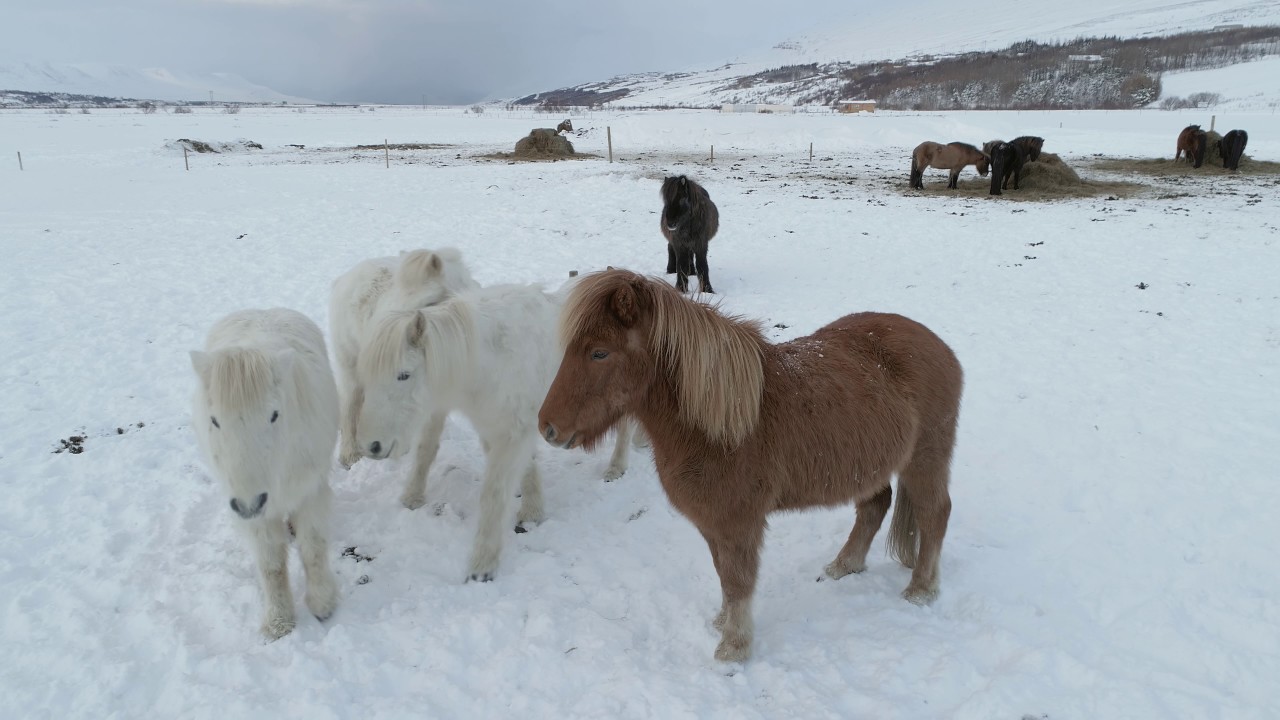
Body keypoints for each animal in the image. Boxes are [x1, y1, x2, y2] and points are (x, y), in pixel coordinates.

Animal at [190, 308, 341, 640]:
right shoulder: (254, 513)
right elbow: (271, 563)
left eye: (274, 415)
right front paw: (279, 622)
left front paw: (322, 603)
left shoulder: (311, 490)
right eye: (214, 420)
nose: (249, 504)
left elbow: (313, 547)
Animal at [354, 281, 639, 582]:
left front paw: (483, 564)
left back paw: (616, 467)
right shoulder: (495, 426)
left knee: (626, 425)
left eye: (403, 375)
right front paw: (532, 510)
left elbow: (493, 494)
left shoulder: (513, 433)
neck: (491, 359)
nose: (371, 446)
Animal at [538, 270, 964, 662]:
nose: (547, 428)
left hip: (925, 459)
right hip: (870, 465)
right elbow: (723, 575)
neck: (718, 425)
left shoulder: (739, 523)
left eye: (599, 353)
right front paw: (722, 623)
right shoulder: (712, 524)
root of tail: (938, 345)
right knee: (875, 506)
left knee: (934, 513)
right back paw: (844, 565)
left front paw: (734, 648)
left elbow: (738, 581)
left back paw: (921, 590)